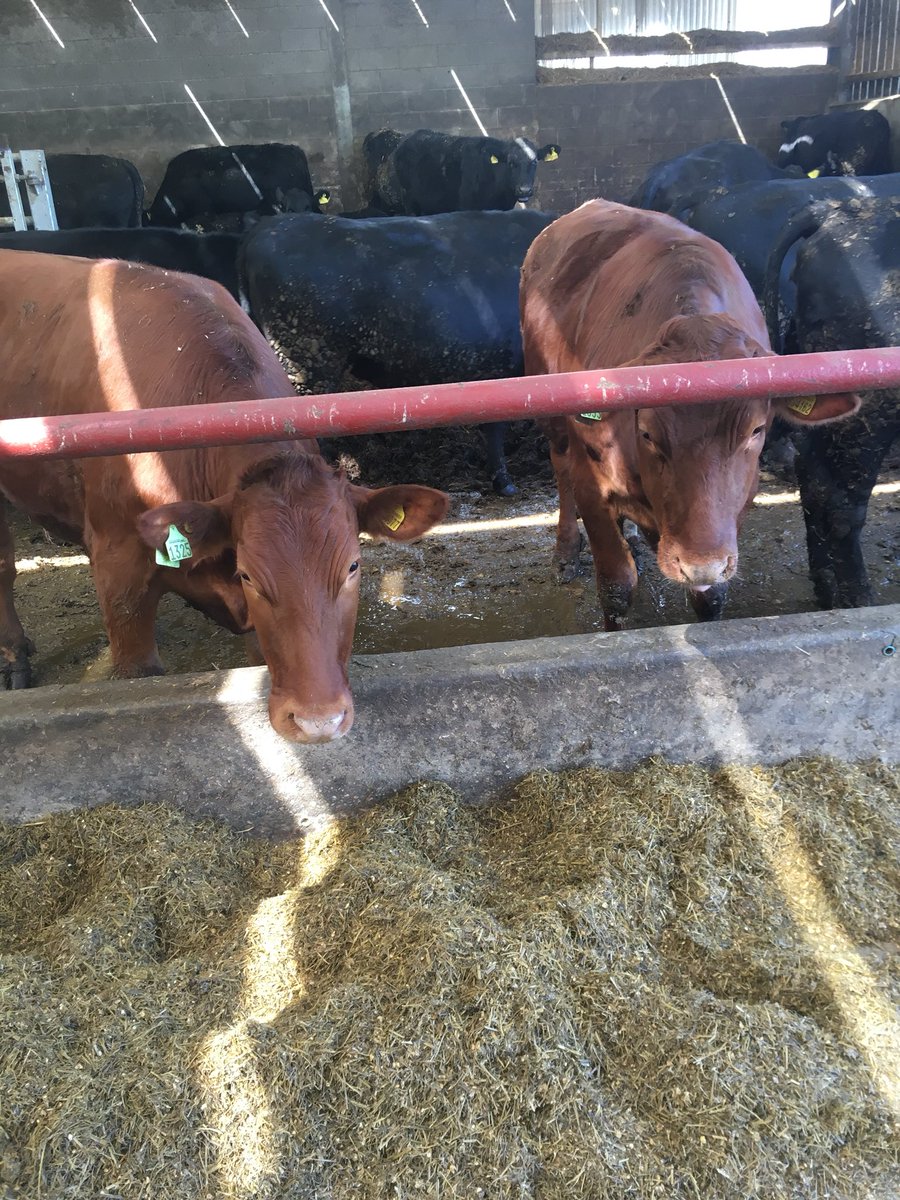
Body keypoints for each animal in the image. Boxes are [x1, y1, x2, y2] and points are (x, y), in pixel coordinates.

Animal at [519, 200, 859, 630]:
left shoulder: (735, 508)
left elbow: (711, 596)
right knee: (559, 465)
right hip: (549, 410)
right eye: (647, 432)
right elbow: (615, 586)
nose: (700, 565)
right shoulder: (591, 484)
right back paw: (565, 552)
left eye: (756, 430)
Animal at [763, 196, 900, 609]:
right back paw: (858, 597)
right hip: (872, 407)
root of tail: (833, 211)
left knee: (813, 473)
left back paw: (828, 589)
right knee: (840, 498)